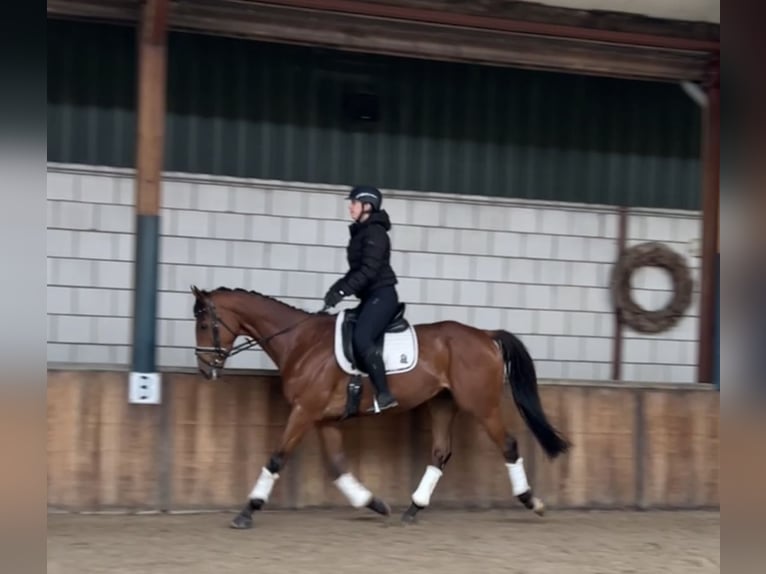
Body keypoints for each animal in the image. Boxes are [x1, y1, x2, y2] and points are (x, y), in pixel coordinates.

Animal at [191, 284, 568, 532]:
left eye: (203, 323)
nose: (205, 370)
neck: (300, 342)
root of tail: (485, 335)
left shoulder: (304, 411)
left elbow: (276, 457)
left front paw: (247, 511)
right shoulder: (323, 418)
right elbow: (337, 466)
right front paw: (374, 503)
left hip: (482, 404)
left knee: (508, 445)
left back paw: (532, 502)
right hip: (442, 404)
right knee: (440, 453)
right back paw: (413, 509)